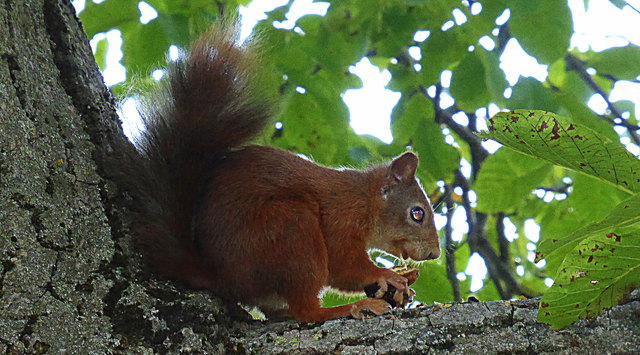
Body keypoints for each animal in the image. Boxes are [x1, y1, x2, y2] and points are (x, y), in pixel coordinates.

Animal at [120, 23, 440, 324]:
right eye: (417, 213)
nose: (434, 254)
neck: (365, 198)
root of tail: (224, 278)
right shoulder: (341, 218)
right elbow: (344, 265)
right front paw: (387, 275)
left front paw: (404, 275)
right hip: (291, 229)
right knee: (306, 310)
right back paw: (347, 308)